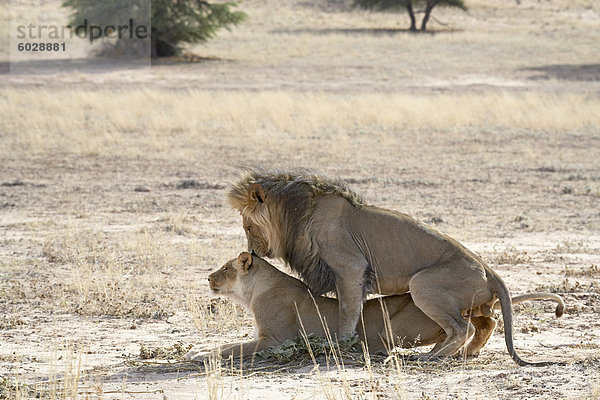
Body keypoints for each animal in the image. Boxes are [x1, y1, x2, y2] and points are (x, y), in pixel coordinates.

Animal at [185, 253, 564, 362]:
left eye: (225, 268)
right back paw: (461, 352)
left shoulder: (274, 339)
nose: (208, 277)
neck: (256, 290)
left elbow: (230, 347)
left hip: (399, 318)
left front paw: (198, 355)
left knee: (466, 326)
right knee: (486, 321)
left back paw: (433, 355)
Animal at [226, 169, 556, 366]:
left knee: (463, 327)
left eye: (247, 226)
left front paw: (342, 345)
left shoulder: (351, 267)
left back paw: (429, 357)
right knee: (488, 322)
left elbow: (347, 314)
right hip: (469, 300)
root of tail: (488, 269)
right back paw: (464, 353)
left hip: (422, 284)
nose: (252, 252)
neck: (296, 214)